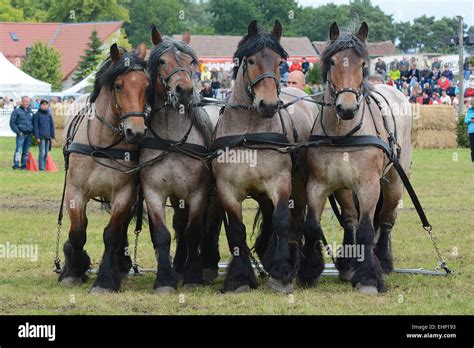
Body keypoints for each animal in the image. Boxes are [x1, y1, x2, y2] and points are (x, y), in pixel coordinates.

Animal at [304, 21, 412, 294]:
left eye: (362, 64)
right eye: (333, 62)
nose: (347, 108)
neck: (342, 134)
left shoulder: (368, 185)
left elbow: (366, 229)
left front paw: (368, 279)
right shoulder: (320, 184)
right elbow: (314, 224)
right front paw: (310, 272)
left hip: (394, 182)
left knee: (386, 220)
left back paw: (383, 262)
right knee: (351, 219)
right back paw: (349, 265)